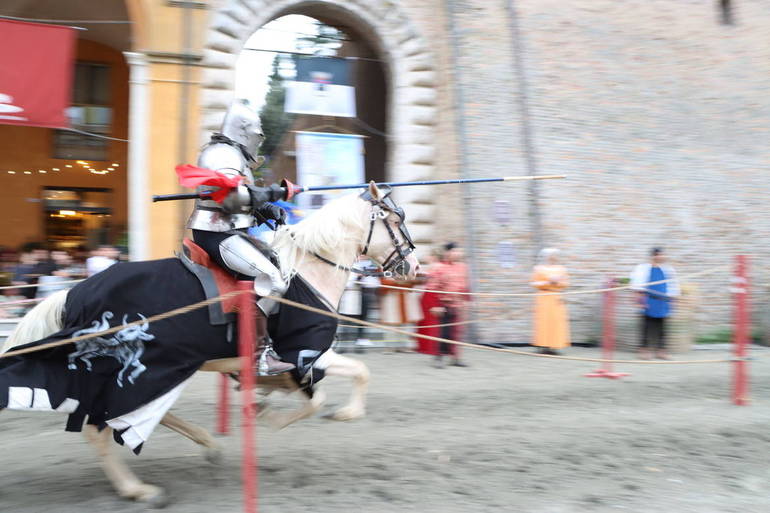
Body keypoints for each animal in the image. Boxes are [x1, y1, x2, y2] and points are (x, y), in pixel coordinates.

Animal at [1, 183, 420, 504]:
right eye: (396, 221)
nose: (413, 268)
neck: (307, 270)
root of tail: (75, 292)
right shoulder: (306, 354)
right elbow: (339, 385)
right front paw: (294, 415)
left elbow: (323, 387)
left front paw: (262, 404)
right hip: (138, 373)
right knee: (100, 429)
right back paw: (138, 489)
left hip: (164, 371)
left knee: (136, 418)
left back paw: (206, 447)